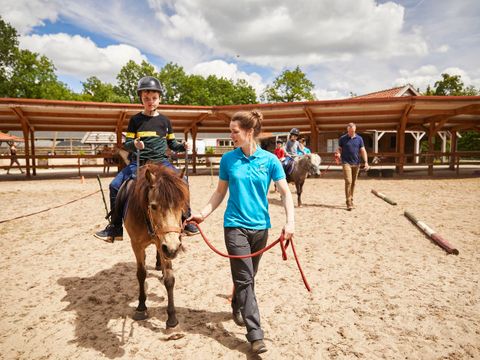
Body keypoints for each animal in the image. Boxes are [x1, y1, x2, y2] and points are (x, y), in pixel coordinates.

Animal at [122, 163, 189, 326]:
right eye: (153, 206)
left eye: (181, 205)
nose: (172, 248)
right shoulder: (136, 245)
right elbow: (141, 274)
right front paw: (141, 307)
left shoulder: (163, 244)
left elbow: (170, 279)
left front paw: (172, 318)